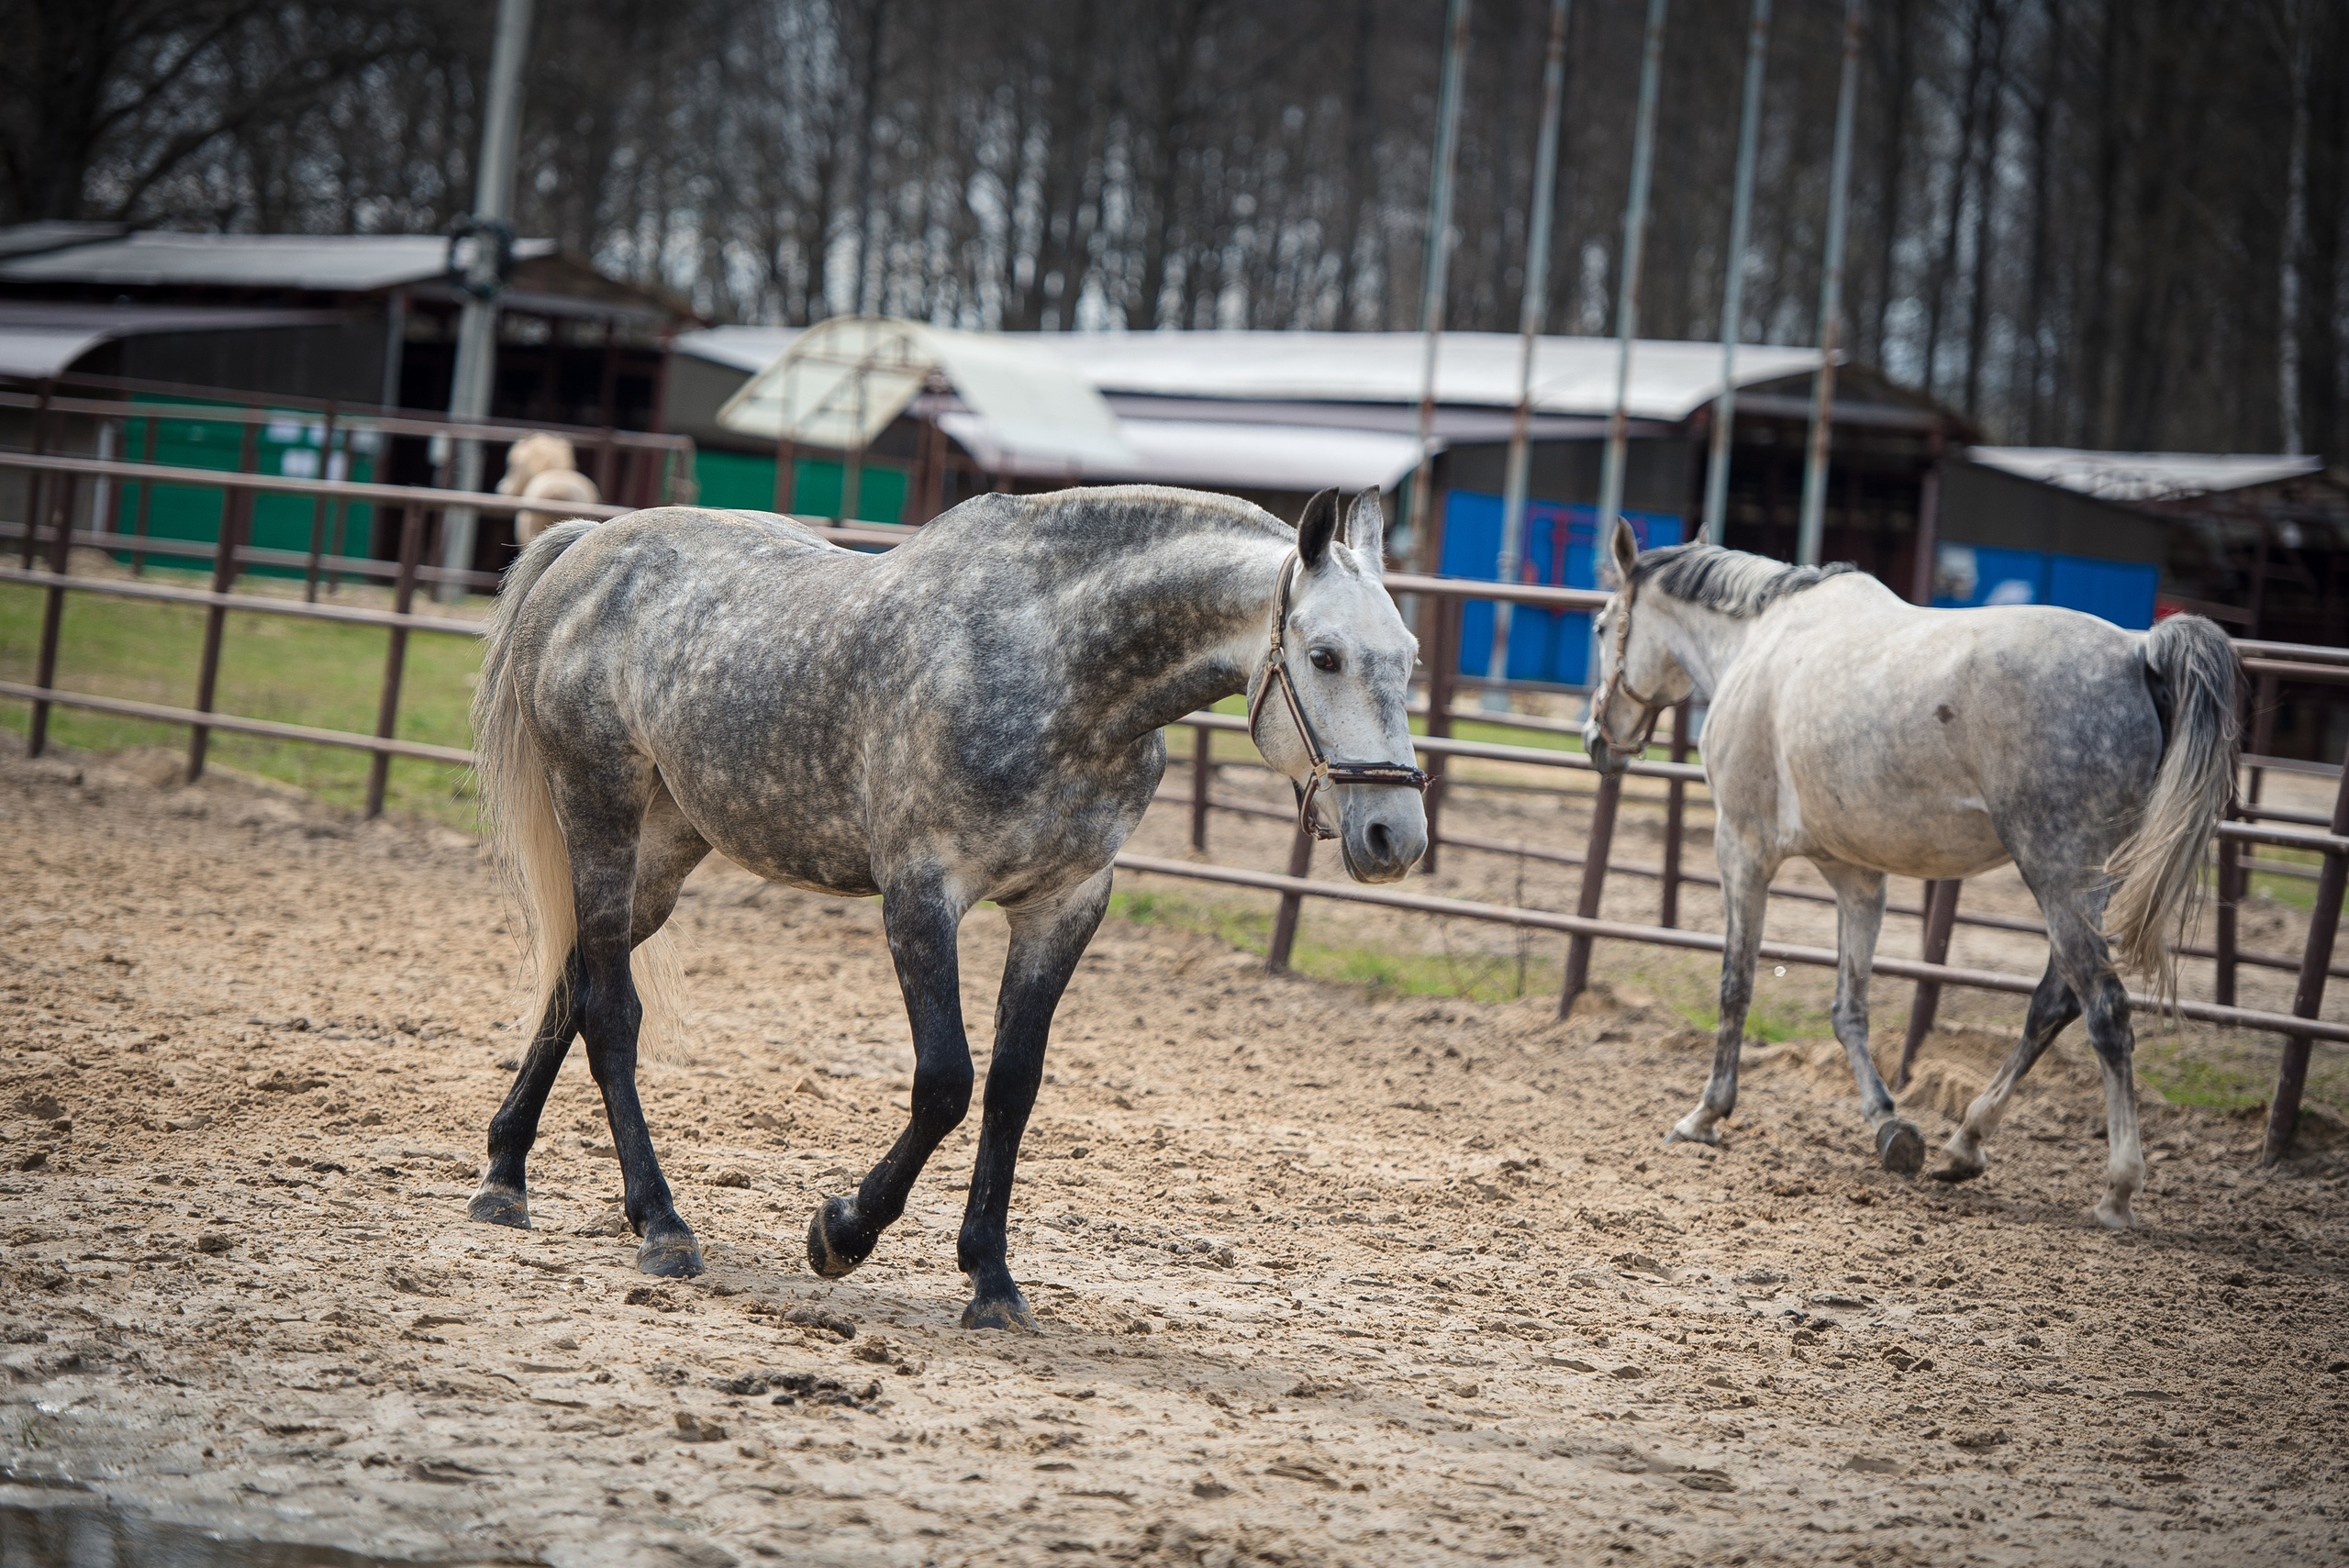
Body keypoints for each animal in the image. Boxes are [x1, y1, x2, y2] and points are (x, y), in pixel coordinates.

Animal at [465, 486, 1429, 1328]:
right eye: (1324, 655)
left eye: (1411, 657)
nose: (1396, 834)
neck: (1058, 667)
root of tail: (588, 548)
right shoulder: (922, 896)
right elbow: (945, 1083)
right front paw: (840, 1233)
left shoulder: (1063, 907)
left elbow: (1011, 1088)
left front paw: (991, 1281)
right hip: (599, 811)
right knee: (610, 1011)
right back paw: (661, 1224)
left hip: (665, 845)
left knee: (573, 983)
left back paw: (505, 1176)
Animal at [1581, 521, 2236, 1229]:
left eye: (1601, 626)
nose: (1597, 738)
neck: (1758, 641)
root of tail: (2139, 651)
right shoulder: (1857, 876)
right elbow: (1849, 1009)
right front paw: (1889, 1126)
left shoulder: (1743, 850)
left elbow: (1737, 985)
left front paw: (1705, 1114)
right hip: (2091, 884)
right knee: (2054, 1003)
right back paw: (1965, 1142)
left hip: (2058, 874)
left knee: (2105, 1009)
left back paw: (2117, 1187)